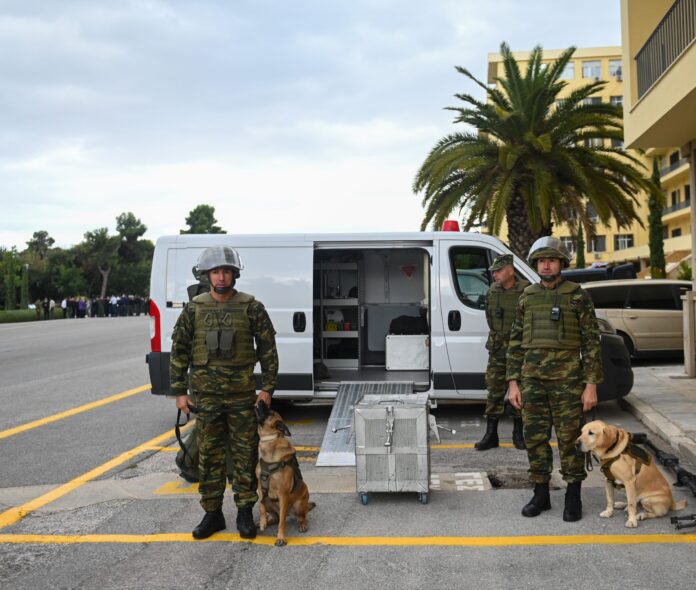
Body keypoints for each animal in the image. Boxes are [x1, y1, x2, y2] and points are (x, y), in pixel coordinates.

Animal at [256, 412, 316, 544]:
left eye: (269, 413)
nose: (258, 405)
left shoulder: (283, 494)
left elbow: (282, 522)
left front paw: (281, 538)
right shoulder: (260, 489)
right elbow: (261, 507)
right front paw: (263, 521)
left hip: (299, 504)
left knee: (300, 517)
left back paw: (302, 525)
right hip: (268, 501)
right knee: (276, 517)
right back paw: (265, 522)